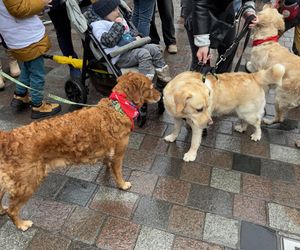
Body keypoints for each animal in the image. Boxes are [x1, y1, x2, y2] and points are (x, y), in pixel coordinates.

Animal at [0, 72, 161, 230]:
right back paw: (22, 224)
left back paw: (2, 210)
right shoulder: (119, 155)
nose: (161, 95)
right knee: (12, 210)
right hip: (28, 182)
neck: (118, 107)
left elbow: (108, 164)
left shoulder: (110, 153)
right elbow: (119, 173)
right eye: (151, 87)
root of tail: (8, 137)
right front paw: (123, 184)